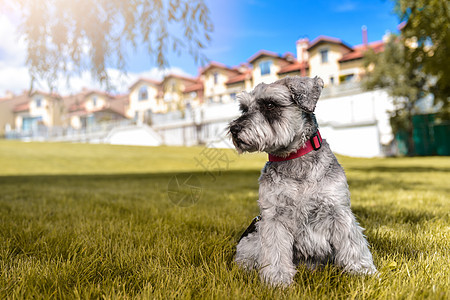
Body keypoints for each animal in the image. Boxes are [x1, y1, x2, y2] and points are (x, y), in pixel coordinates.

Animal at [229, 75, 376, 286]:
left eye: (270, 104)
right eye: (244, 108)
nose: (234, 129)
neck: (295, 160)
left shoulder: (338, 210)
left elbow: (352, 244)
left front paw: (362, 271)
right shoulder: (274, 218)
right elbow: (275, 252)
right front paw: (277, 280)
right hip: (251, 237)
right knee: (246, 256)